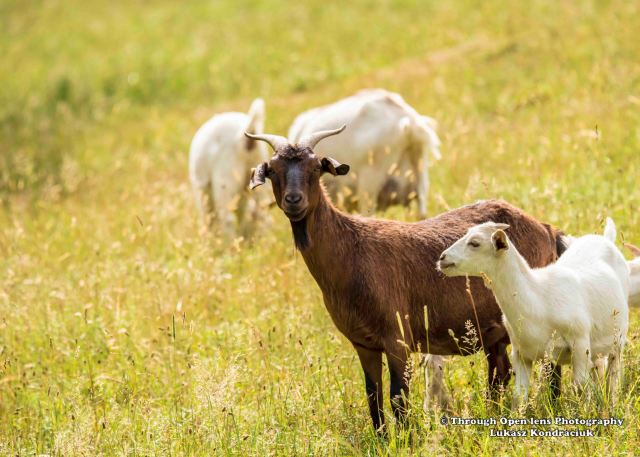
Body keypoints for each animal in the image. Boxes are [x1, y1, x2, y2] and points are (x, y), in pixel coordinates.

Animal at [245, 126, 565, 431]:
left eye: (315, 167)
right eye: (273, 169)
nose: (293, 200)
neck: (352, 250)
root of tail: (547, 229)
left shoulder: (397, 337)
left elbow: (398, 396)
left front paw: (408, 439)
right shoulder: (364, 343)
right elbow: (373, 396)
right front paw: (382, 438)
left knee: (550, 367)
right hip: (493, 331)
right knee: (500, 371)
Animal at [438, 219, 629, 407]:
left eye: (475, 243)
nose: (442, 258)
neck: (538, 297)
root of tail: (605, 239)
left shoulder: (580, 344)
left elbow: (580, 388)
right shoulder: (521, 354)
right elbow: (519, 396)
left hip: (617, 340)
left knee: (612, 378)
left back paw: (611, 406)